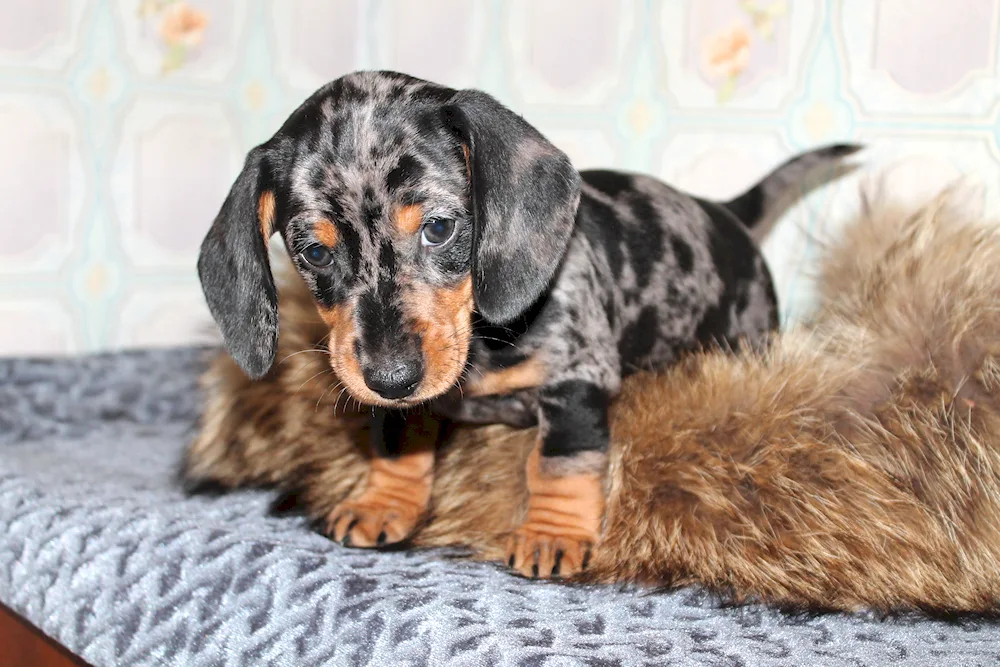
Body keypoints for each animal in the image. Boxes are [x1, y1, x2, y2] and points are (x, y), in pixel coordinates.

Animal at [197, 69, 860, 580]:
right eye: (313, 252)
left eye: (438, 228)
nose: (390, 378)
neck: (481, 346)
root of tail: (726, 213)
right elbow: (397, 441)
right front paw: (383, 501)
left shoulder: (575, 382)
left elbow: (559, 464)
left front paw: (552, 535)